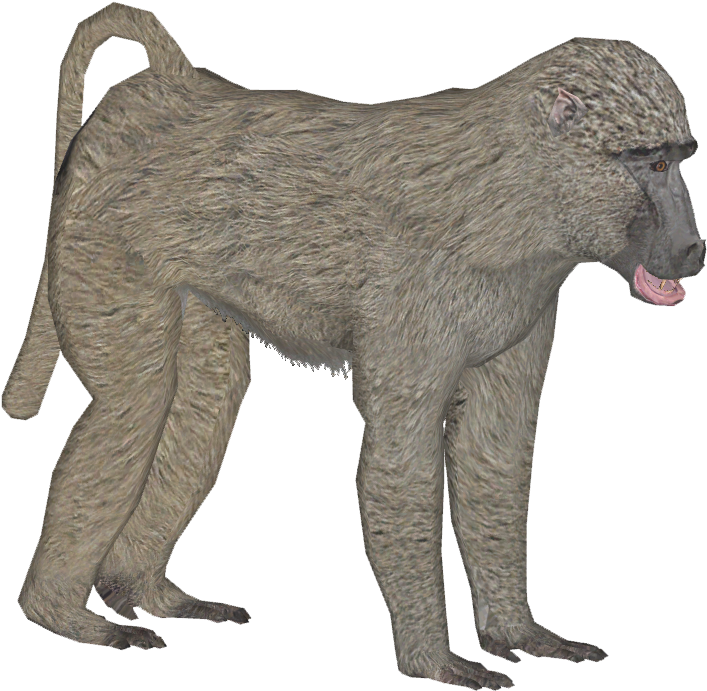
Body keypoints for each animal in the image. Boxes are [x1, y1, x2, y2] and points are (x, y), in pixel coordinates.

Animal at [3, 3, 702, 688]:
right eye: (651, 163)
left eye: (678, 158)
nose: (692, 251)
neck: (517, 192)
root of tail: (162, 91)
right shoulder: (414, 307)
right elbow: (401, 460)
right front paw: (433, 660)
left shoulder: (527, 303)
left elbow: (493, 454)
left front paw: (518, 634)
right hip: (103, 242)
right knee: (135, 403)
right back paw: (62, 613)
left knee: (204, 403)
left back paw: (142, 589)